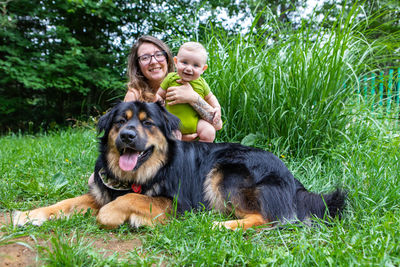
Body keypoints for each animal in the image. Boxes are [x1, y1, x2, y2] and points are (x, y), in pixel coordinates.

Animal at [14, 101, 346, 231]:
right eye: (121, 121)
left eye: (147, 123)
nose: (127, 136)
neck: (142, 172)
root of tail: (294, 181)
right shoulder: (103, 191)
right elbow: (66, 202)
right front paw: (29, 215)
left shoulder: (178, 203)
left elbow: (127, 200)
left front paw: (120, 216)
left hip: (225, 171)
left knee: (269, 218)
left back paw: (220, 225)